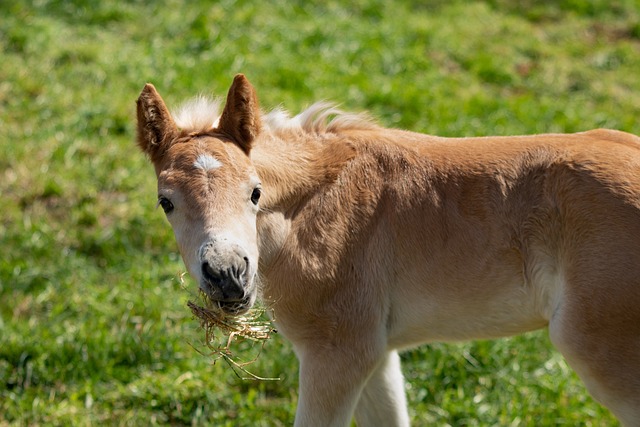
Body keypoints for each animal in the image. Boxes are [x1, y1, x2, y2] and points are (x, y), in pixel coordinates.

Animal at [138, 74, 640, 427]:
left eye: (255, 192)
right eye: (166, 202)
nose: (228, 277)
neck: (316, 206)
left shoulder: (337, 351)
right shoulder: (375, 352)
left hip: (603, 352)